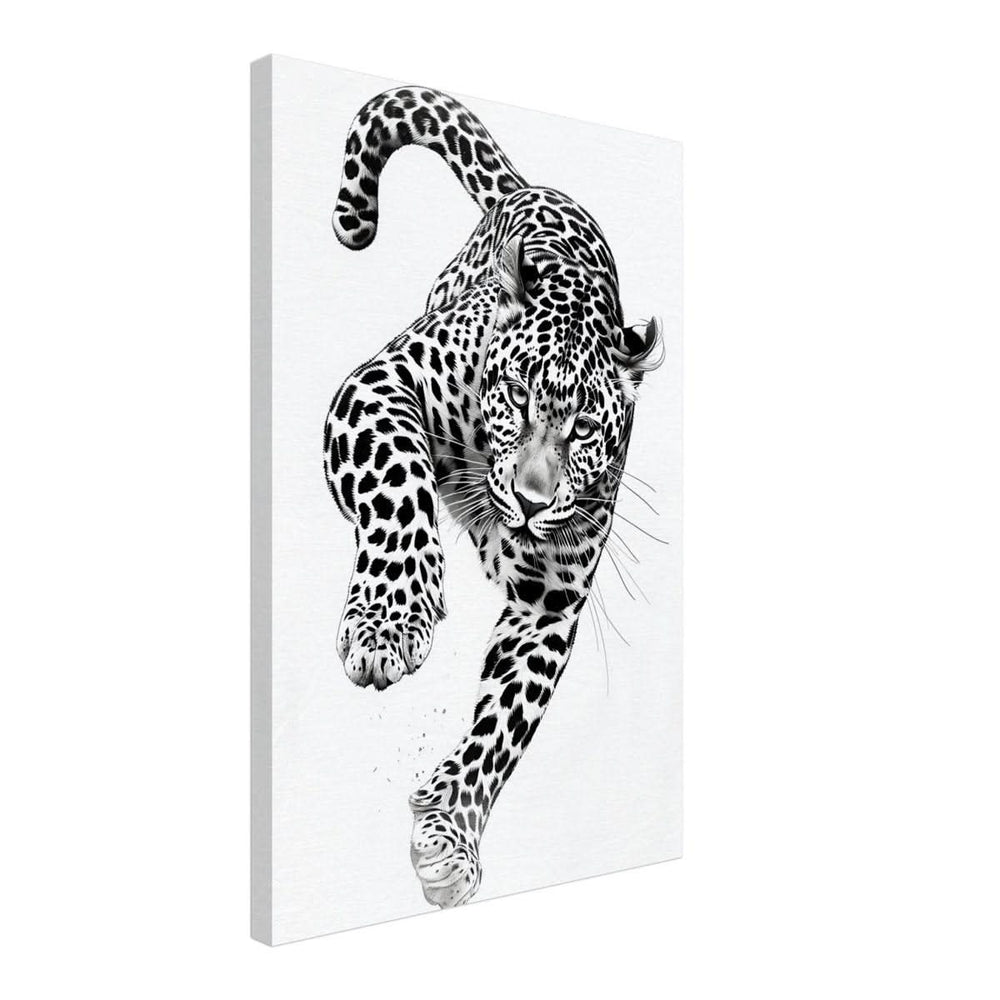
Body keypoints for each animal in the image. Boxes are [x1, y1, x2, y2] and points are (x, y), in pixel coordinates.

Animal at [323, 87, 663, 909]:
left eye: (584, 429)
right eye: (514, 394)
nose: (535, 501)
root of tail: (532, 186)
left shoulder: (548, 601)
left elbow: (504, 724)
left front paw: (448, 834)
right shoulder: (379, 387)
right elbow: (400, 485)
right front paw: (390, 622)